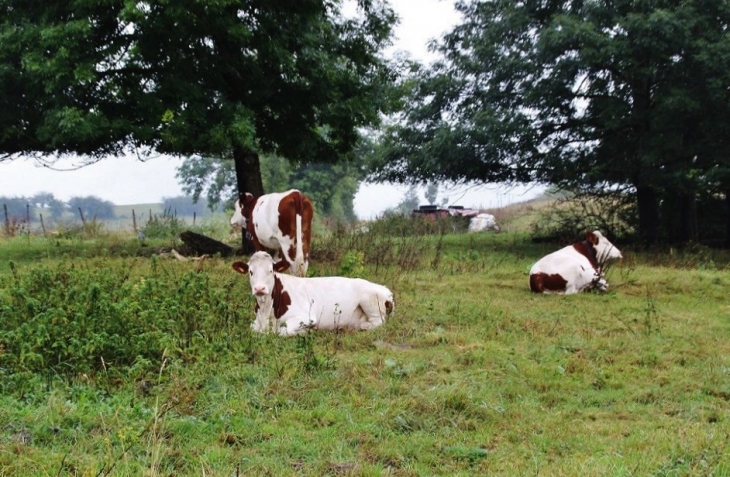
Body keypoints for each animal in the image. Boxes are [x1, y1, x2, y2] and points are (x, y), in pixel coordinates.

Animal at [232, 251, 392, 336]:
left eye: (270, 271)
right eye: (250, 272)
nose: (259, 289)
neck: (267, 310)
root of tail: (385, 289)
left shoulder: (306, 317)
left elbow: (283, 330)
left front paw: (306, 332)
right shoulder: (256, 322)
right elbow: (252, 328)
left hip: (369, 300)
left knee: (378, 322)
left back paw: (359, 326)